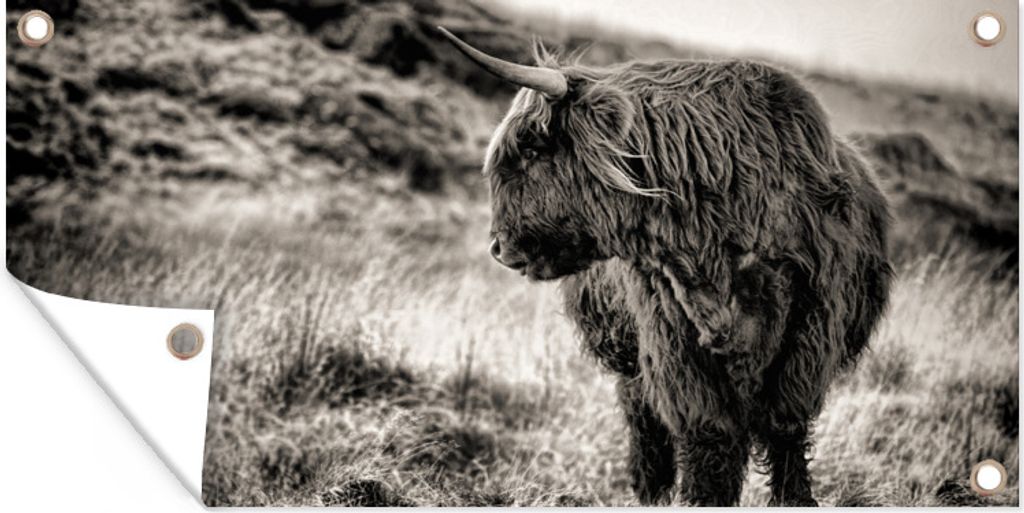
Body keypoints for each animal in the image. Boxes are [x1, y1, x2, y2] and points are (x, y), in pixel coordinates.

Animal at [439, 27, 894, 506]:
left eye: (530, 148)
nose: (498, 245)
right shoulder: (673, 338)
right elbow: (709, 436)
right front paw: (699, 496)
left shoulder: (811, 331)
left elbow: (785, 427)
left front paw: (795, 499)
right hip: (628, 356)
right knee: (643, 416)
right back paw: (650, 487)